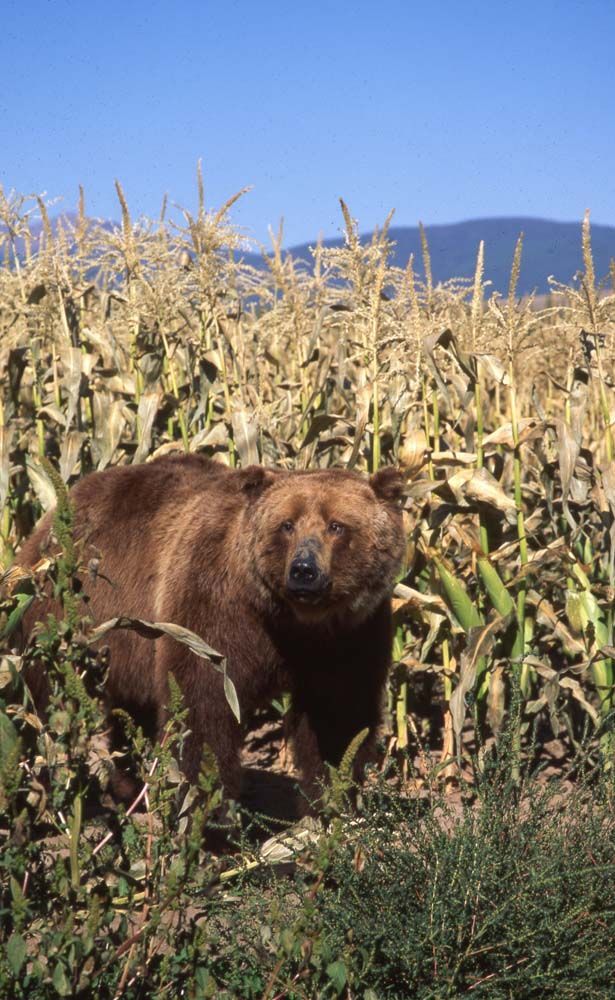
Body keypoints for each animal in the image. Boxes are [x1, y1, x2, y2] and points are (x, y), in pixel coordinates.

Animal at [17, 454, 406, 808]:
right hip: (72, 618)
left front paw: (333, 801)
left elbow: (339, 716)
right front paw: (207, 808)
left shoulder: (351, 632)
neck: (294, 621)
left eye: (336, 525)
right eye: (287, 525)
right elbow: (204, 707)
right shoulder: (216, 610)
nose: (303, 570)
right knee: (60, 704)